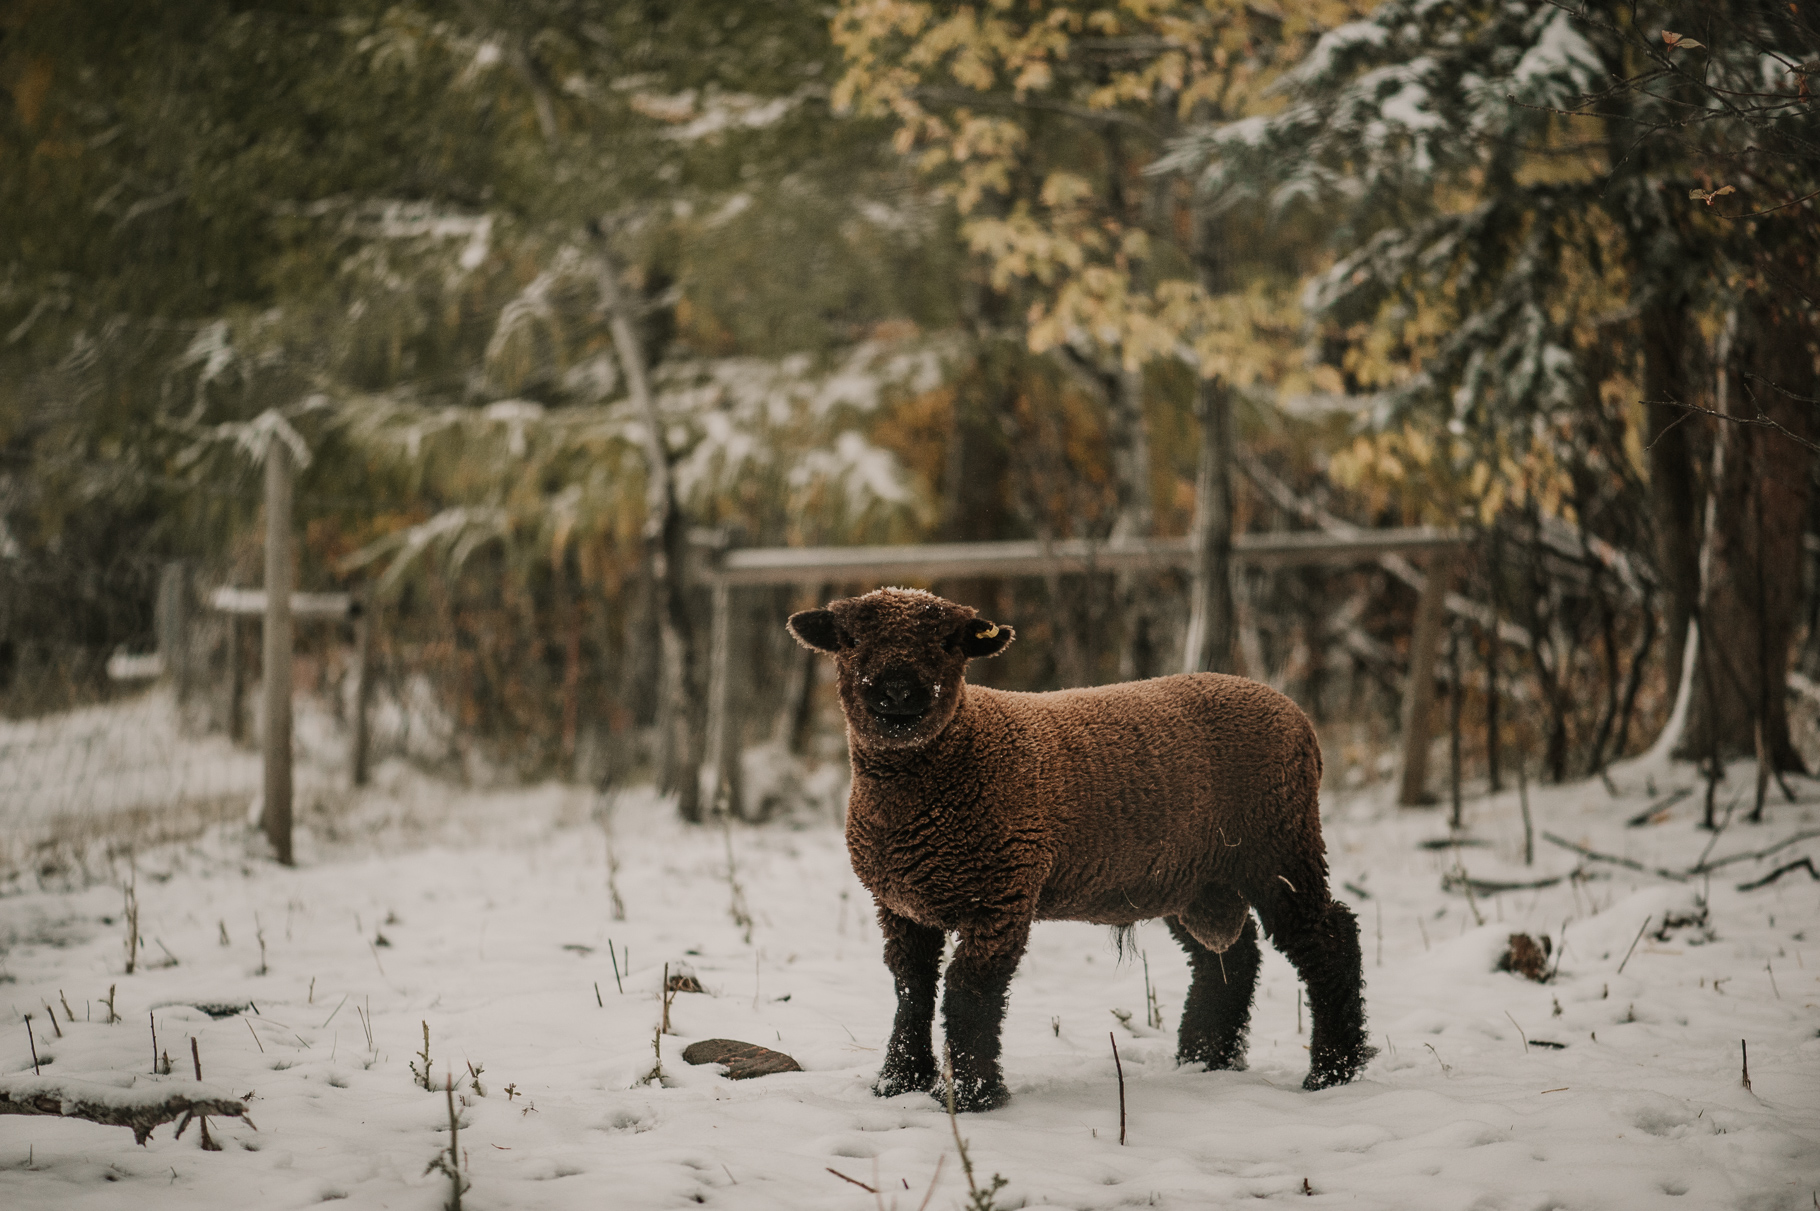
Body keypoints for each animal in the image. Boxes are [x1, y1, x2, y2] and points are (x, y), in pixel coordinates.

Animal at [789, 582, 1368, 1107]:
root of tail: (1290, 709)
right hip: (1194, 875)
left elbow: (969, 991)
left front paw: (974, 1096)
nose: (897, 692)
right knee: (1227, 957)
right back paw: (1204, 1059)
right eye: (849, 638)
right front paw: (897, 1082)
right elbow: (911, 988)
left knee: (1328, 938)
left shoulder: (1002, 893)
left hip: (1279, 845)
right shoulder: (901, 905)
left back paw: (1333, 1071)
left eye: (951, 641)